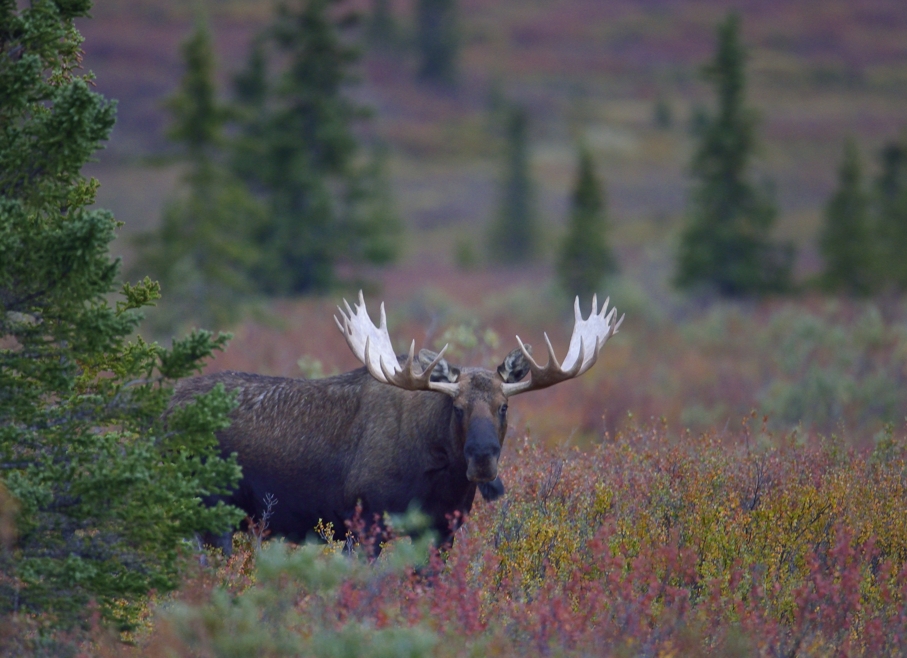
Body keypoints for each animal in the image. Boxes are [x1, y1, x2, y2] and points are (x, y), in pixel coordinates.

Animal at [172, 290, 624, 552]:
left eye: (504, 407)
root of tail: (165, 406)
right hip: (211, 515)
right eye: (456, 408)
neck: (437, 478)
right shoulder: (363, 526)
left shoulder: (441, 533)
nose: (482, 458)